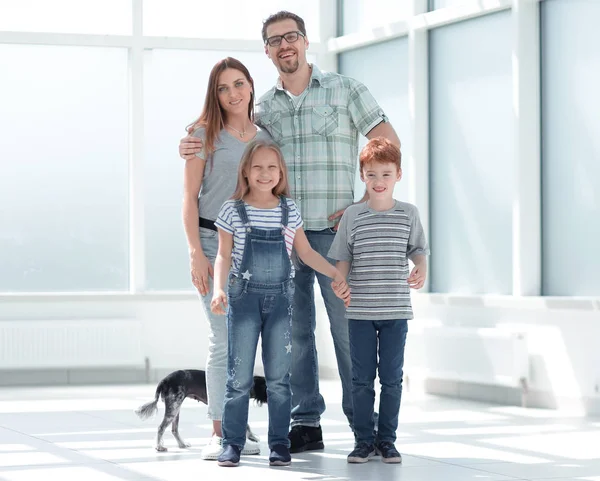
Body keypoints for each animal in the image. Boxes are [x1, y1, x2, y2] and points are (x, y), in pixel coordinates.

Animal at [137, 370, 268, 452]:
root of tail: (165, 380)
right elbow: (246, 425)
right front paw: (251, 437)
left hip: (176, 408)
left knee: (174, 430)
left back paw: (182, 444)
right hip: (174, 408)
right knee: (161, 428)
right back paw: (158, 447)